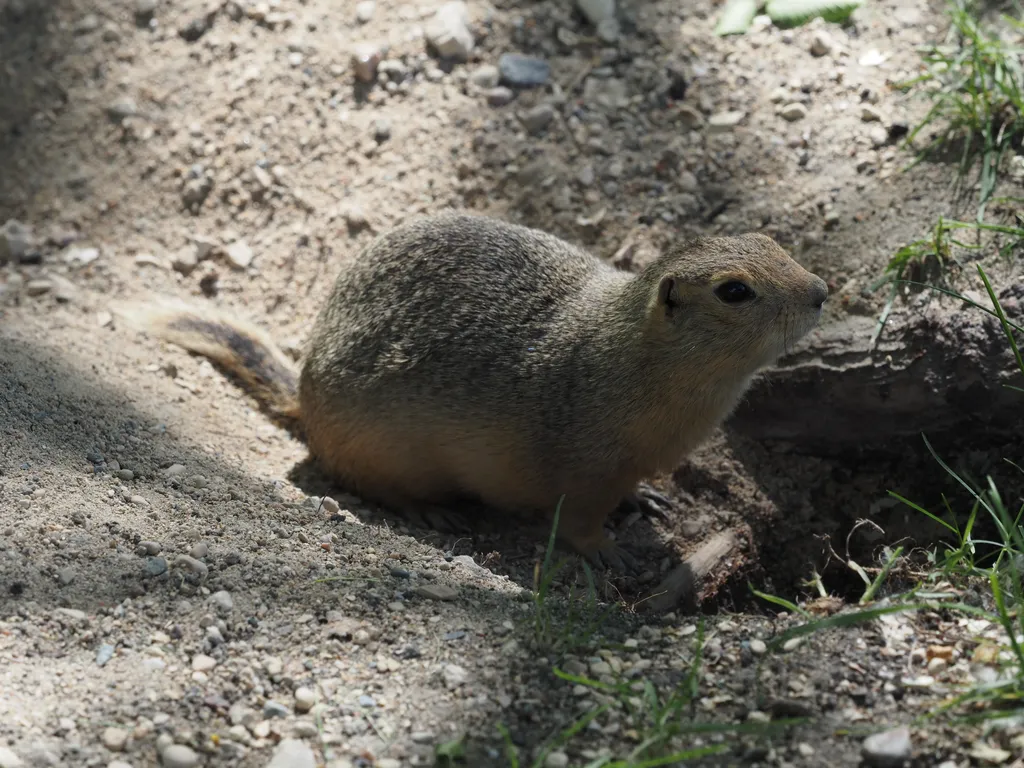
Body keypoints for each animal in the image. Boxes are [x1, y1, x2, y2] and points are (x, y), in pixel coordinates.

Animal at [116, 214, 827, 569]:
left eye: (770, 240)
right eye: (734, 290)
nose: (822, 290)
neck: (629, 352)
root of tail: (305, 394)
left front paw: (646, 501)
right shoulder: (586, 464)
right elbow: (579, 521)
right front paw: (610, 553)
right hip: (380, 449)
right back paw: (432, 511)